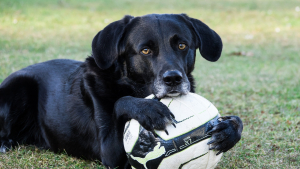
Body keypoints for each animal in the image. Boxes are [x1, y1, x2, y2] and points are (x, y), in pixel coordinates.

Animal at [0, 13, 243, 168]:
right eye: (145, 50)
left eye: (182, 45)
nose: (173, 79)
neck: (132, 85)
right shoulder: (110, 153)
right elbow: (120, 101)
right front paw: (149, 110)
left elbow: (237, 121)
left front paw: (229, 130)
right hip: (18, 88)